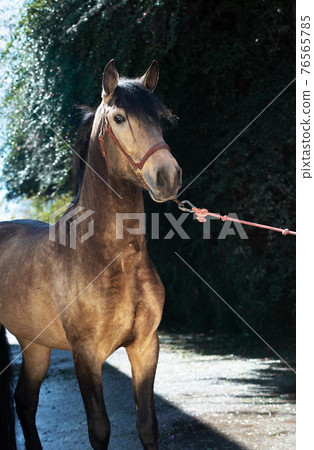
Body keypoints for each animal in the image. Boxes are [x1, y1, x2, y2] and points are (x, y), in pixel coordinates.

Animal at [0, 60, 182, 450]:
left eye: (160, 118)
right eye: (119, 118)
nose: (168, 176)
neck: (113, 259)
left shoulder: (145, 346)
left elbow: (148, 425)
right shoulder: (85, 355)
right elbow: (99, 429)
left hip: (35, 347)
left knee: (25, 401)